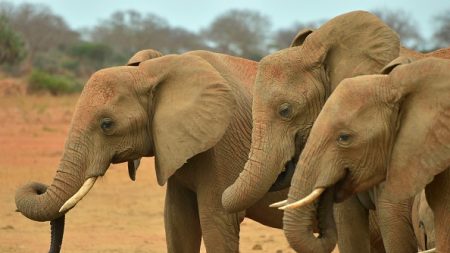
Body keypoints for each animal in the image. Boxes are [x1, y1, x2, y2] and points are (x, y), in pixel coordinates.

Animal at [15, 48, 288, 252]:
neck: (153, 70)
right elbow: (178, 221)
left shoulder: (224, 142)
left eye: (107, 125)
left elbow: (218, 220)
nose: (39, 186)